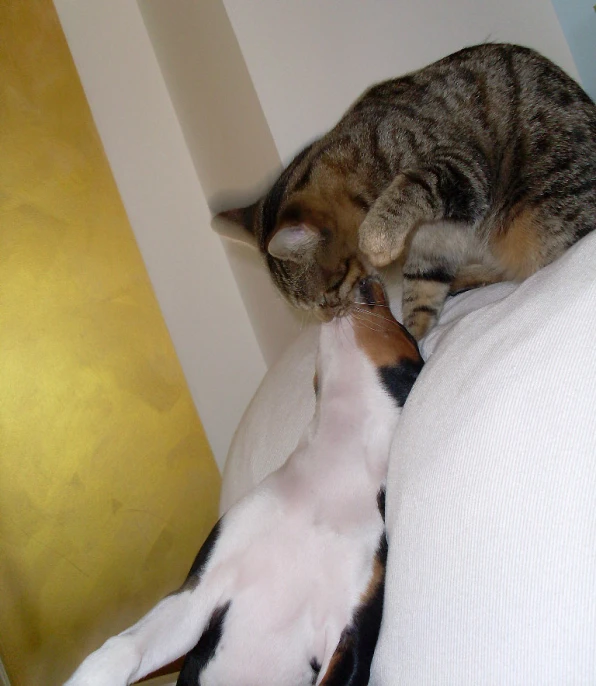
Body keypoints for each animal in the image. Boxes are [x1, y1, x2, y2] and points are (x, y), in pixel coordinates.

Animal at [65, 280, 422, 686]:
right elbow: (116, 652)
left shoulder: (352, 633)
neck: (331, 474)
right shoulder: (198, 592)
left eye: (406, 331)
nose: (367, 276)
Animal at [217, 44, 596, 340]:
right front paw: (412, 335)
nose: (328, 317)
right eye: (312, 305)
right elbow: (422, 288)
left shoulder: (461, 166)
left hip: (543, 221)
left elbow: (414, 185)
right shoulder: (434, 245)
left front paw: (376, 236)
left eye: (329, 292)